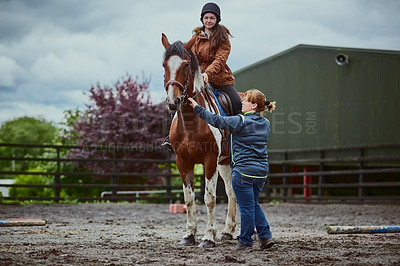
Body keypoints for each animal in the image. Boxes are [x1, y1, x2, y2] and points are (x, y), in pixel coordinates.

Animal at [161, 33, 238, 249]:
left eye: (186, 65)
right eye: (164, 65)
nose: (173, 102)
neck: (191, 120)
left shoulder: (209, 161)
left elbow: (209, 198)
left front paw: (208, 237)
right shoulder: (183, 161)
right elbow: (189, 199)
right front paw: (189, 235)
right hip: (224, 164)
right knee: (231, 192)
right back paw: (227, 232)